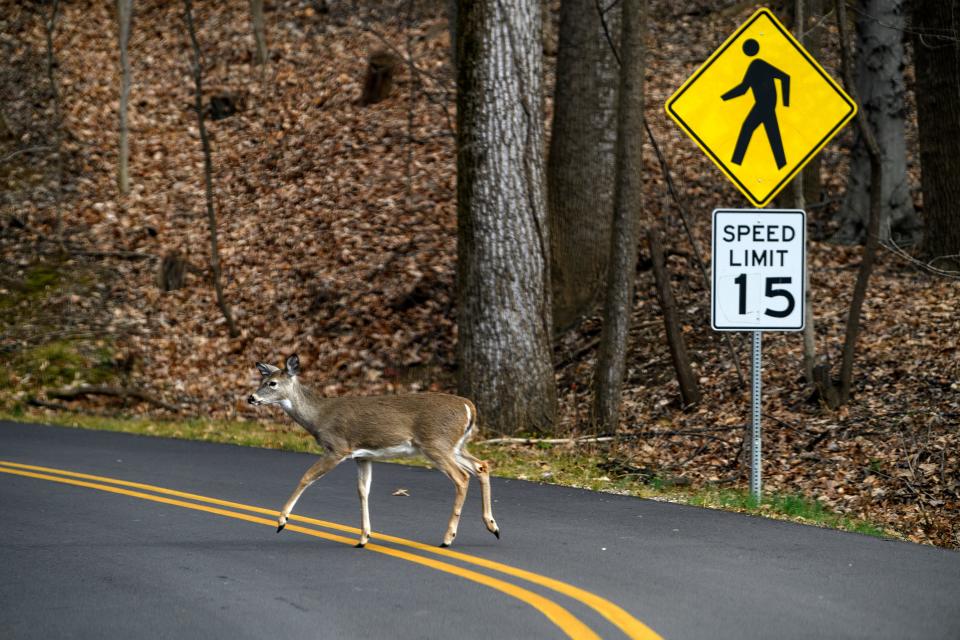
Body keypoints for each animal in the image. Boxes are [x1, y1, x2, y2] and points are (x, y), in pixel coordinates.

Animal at [246, 352, 502, 548]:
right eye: (261, 381)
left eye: (272, 383)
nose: (251, 397)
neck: (319, 416)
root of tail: (468, 406)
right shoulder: (362, 456)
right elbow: (363, 491)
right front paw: (363, 537)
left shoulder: (337, 447)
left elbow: (307, 477)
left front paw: (282, 521)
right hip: (455, 445)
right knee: (481, 466)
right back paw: (492, 526)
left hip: (436, 443)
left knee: (462, 477)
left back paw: (448, 538)